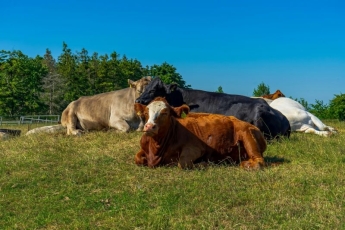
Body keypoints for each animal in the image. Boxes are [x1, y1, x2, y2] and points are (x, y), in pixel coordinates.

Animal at [134, 96, 266, 169]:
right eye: (145, 113)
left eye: (165, 113)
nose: (149, 126)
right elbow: (137, 158)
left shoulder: (197, 148)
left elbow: (182, 163)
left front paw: (203, 164)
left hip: (247, 134)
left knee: (259, 162)